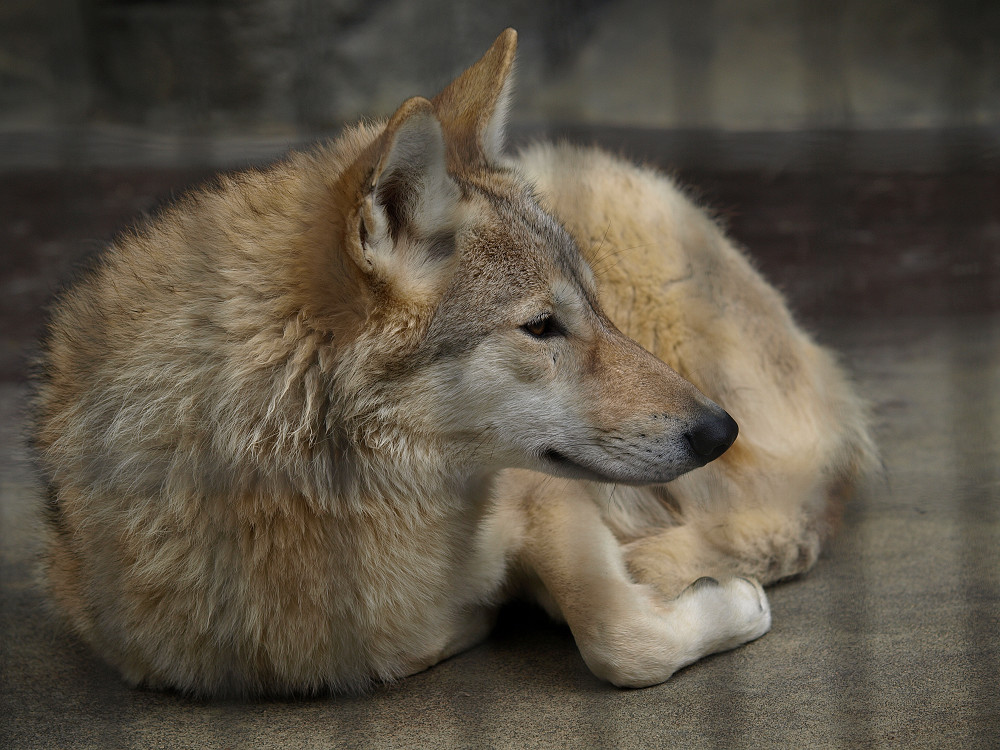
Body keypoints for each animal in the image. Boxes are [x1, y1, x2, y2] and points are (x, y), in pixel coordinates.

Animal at [31, 29, 876, 700]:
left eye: (593, 310)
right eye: (541, 327)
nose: (716, 431)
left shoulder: (548, 497)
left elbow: (620, 641)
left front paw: (721, 603)